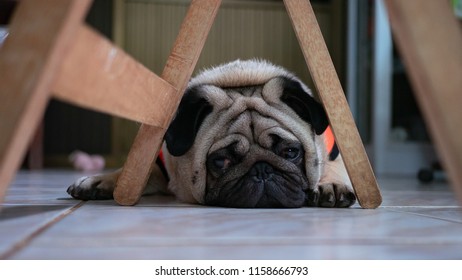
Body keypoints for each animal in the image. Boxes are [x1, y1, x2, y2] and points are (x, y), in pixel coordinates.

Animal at [67, 59, 358, 208]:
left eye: (290, 152)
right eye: (220, 161)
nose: (262, 170)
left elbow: (333, 165)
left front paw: (329, 183)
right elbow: (138, 174)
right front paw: (102, 181)